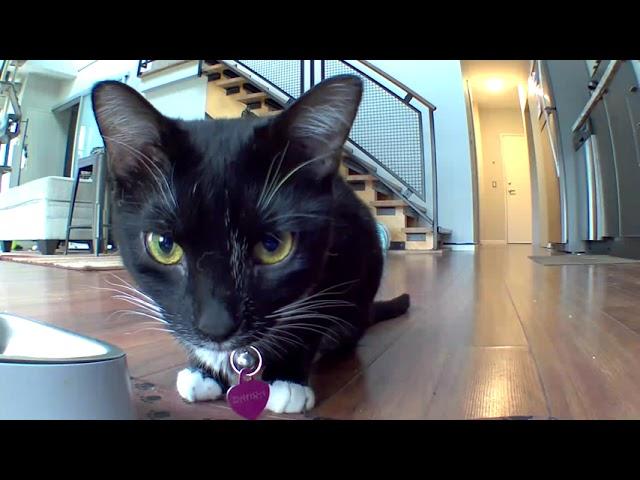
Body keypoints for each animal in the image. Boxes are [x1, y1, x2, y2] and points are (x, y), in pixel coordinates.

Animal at [92, 74, 408, 412]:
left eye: (273, 245)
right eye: (164, 245)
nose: (216, 328)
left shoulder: (341, 250)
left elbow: (312, 314)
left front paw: (287, 378)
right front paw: (204, 371)